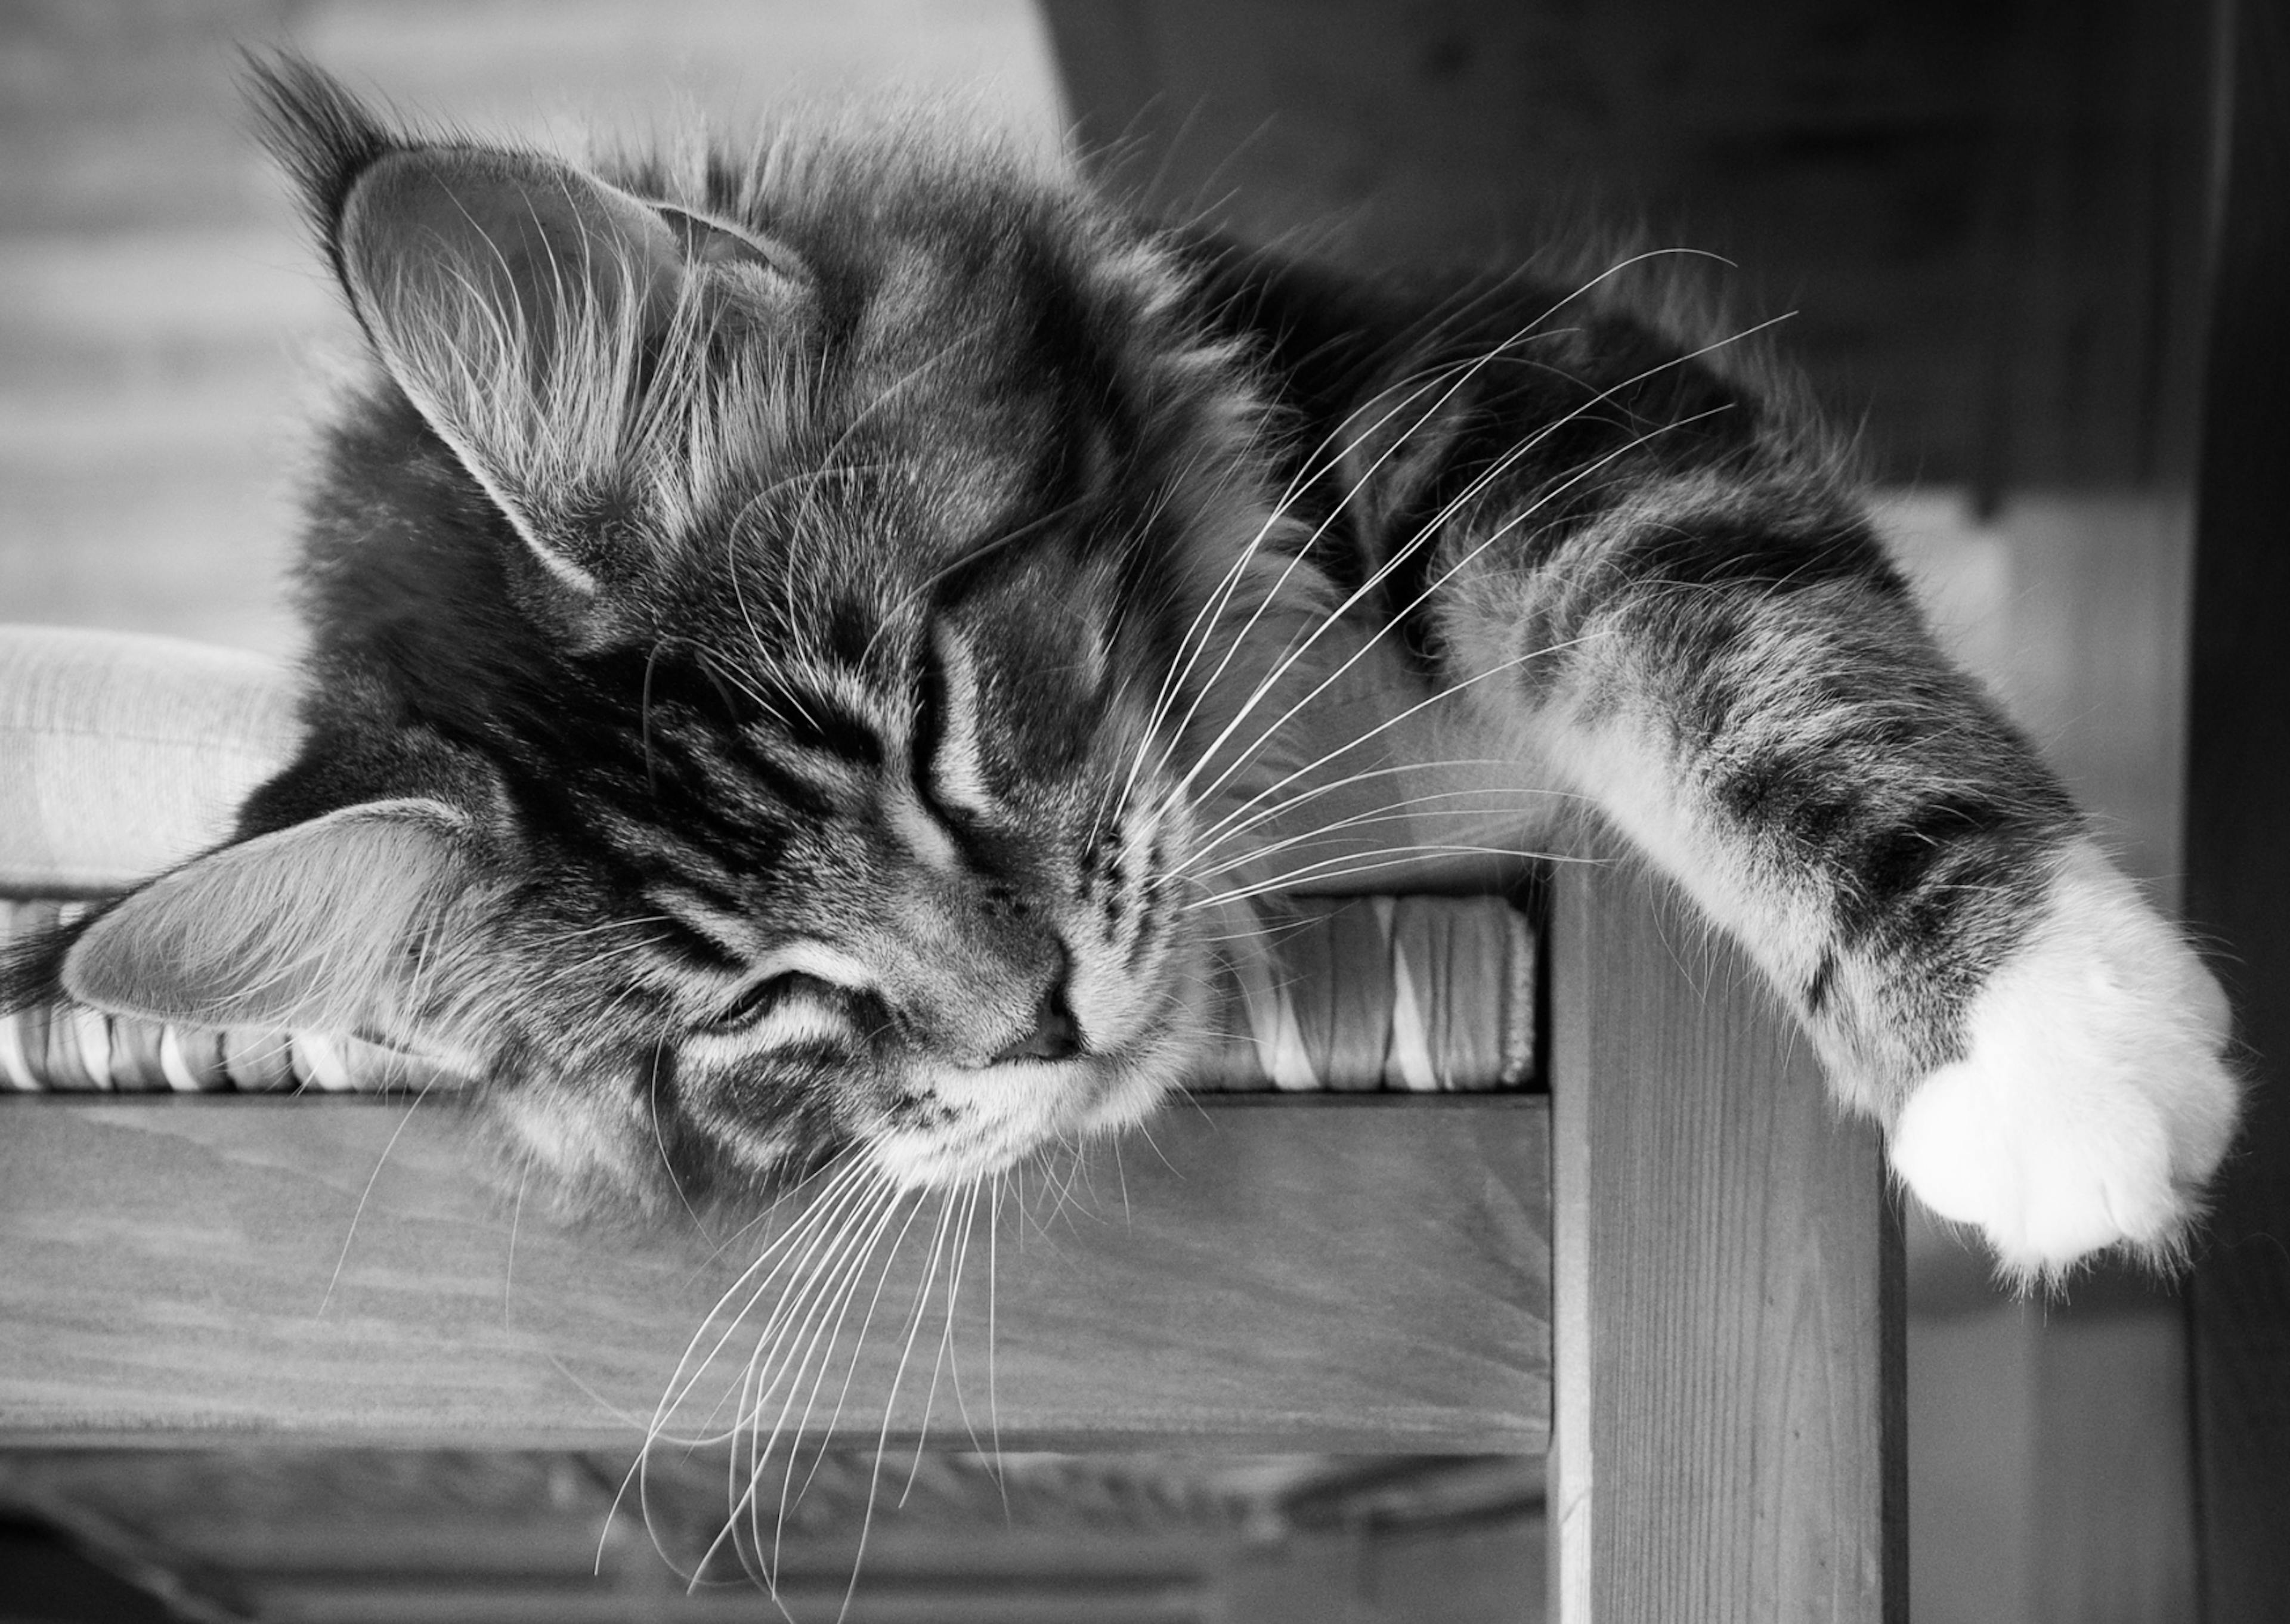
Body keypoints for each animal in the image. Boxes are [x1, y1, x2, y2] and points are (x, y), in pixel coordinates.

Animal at [0, 57, 2244, 1282]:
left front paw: (2044, 1044)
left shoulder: (1501, 380)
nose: (1040, 1025)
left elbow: (1744, 659)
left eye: (927, 728)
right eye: (759, 1008)